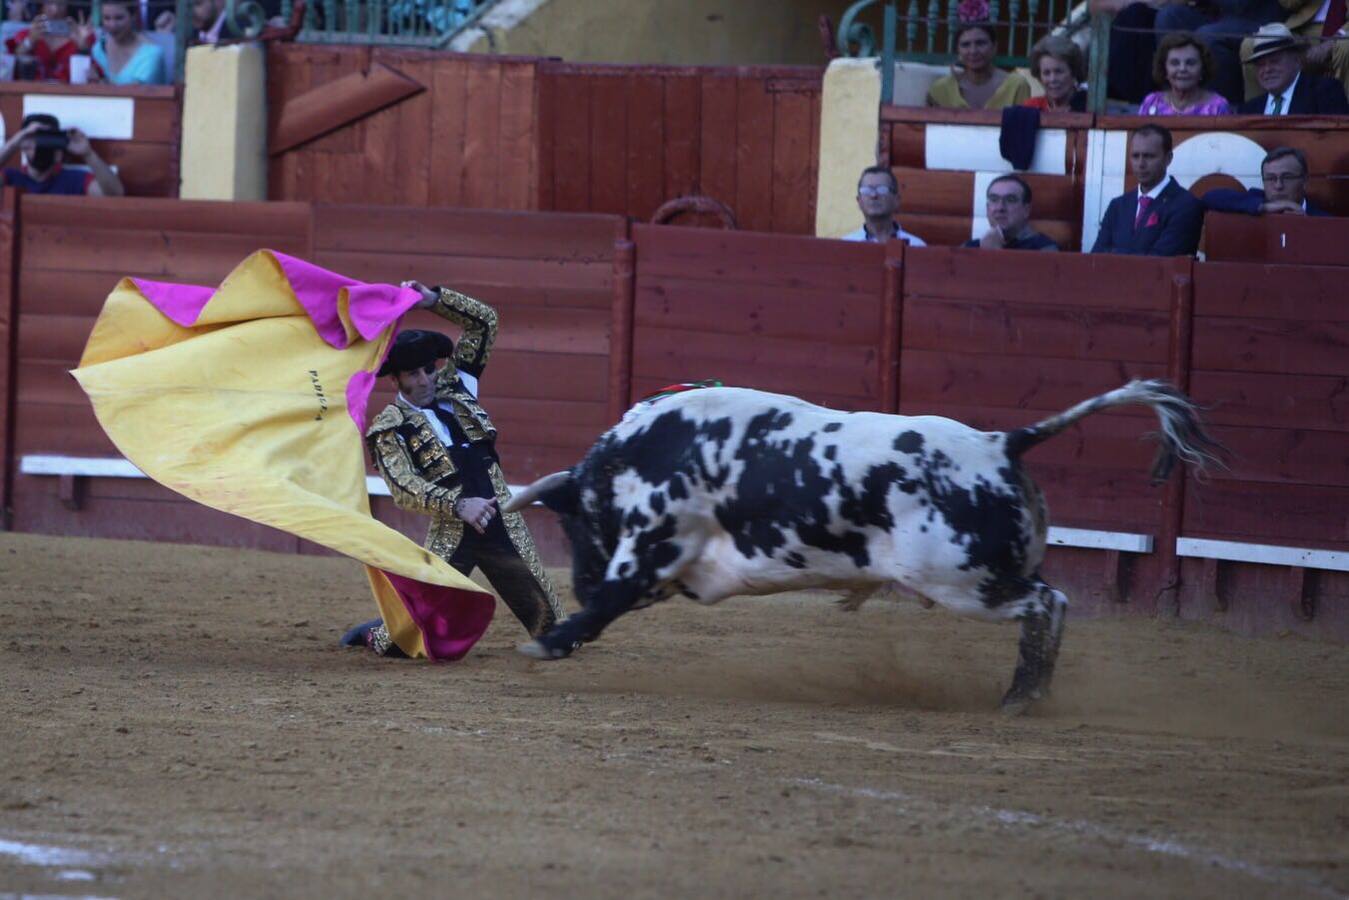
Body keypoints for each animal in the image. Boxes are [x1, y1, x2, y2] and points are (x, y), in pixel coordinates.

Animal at [507, 377, 1224, 712]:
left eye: (575, 525)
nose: (575, 582)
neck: (636, 455)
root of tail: (1002, 443)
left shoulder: (653, 544)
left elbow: (607, 604)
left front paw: (547, 642)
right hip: (974, 579)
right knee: (1051, 605)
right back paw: (1025, 696)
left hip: (960, 581)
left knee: (1047, 604)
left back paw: (1022, 697)